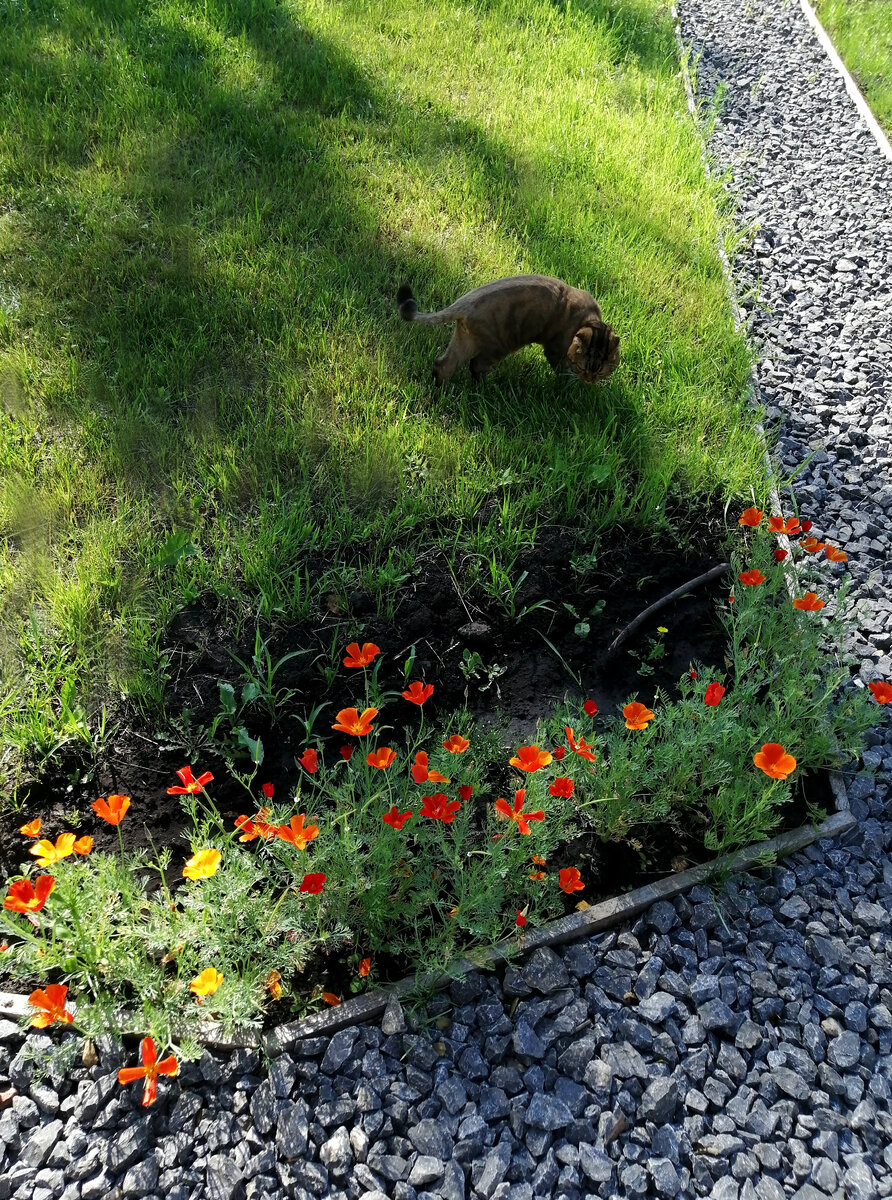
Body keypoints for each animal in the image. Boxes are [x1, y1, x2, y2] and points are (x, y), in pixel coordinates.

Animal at [398, 273, 619, 381]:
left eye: (600, 372)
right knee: (476, 365)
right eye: (583, 367)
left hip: (464, 340)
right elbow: (562, 369)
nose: (590, 380)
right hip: (497, 345)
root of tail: (465, 303)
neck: (589, 319)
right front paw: (569, 383)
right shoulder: (554, 351)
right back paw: (486, 389)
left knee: (442, 365)